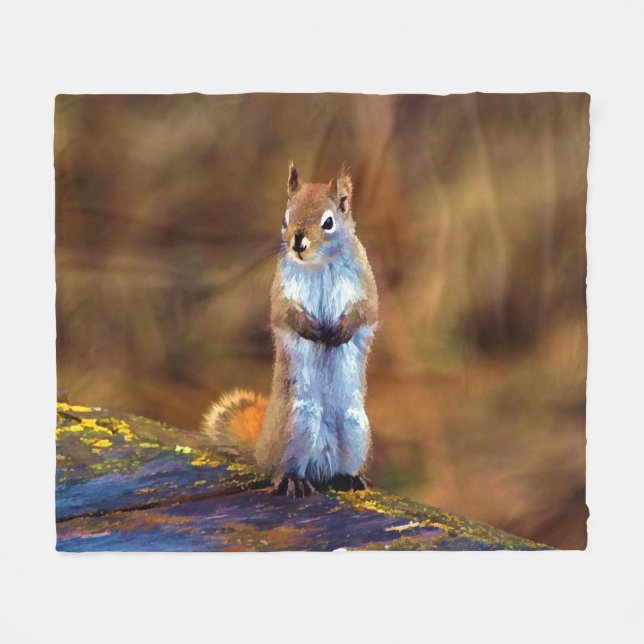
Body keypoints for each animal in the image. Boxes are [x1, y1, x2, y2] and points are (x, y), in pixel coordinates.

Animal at [202, 162, 379, 497]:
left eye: (328, 222)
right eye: (285, 219)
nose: (298, 242)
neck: (320, 263)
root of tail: (261, 450)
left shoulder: (365, 286)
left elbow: (365, 313)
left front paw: (339, 332)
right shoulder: (282, 292)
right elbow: (285, 316)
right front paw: (313, 331)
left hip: (355, 429)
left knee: (338, 466)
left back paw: (348, 477)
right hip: (297, 427)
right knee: (284, 468)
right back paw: (292, 480)